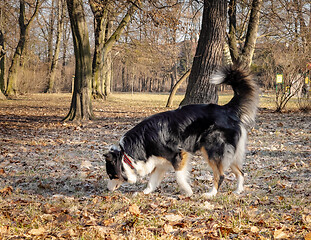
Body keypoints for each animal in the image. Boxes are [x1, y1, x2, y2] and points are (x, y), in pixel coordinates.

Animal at [103, 63, 260, 197]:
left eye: (111, 175)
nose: (107, 189)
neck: (130, 152)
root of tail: (226, 108)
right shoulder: (159, 162)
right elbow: (152, 180)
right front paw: (144, 192)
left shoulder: (178, 154)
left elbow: (178, 176)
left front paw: (188, 191)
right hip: (229, 153)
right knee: (240, 172)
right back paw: (238, 190)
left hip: (212, 150)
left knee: (221, 175)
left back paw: (211, 193)